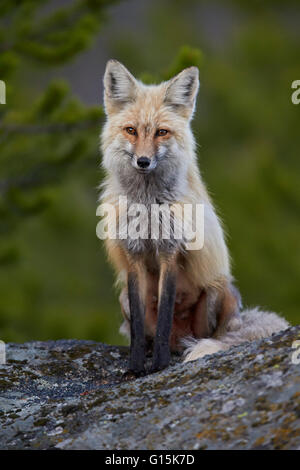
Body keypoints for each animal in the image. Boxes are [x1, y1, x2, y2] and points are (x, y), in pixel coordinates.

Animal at [100, 59, 288, 374]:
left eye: (161, 132)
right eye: (131, 130)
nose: (143, 161)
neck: (148, 204)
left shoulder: (170, 251)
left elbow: (165, 315)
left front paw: (160, 365)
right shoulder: (133, 253)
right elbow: (138, 325)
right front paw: (136, 366)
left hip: (216, 290)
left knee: (207, 336)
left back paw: (187, 348)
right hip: (123, 296)